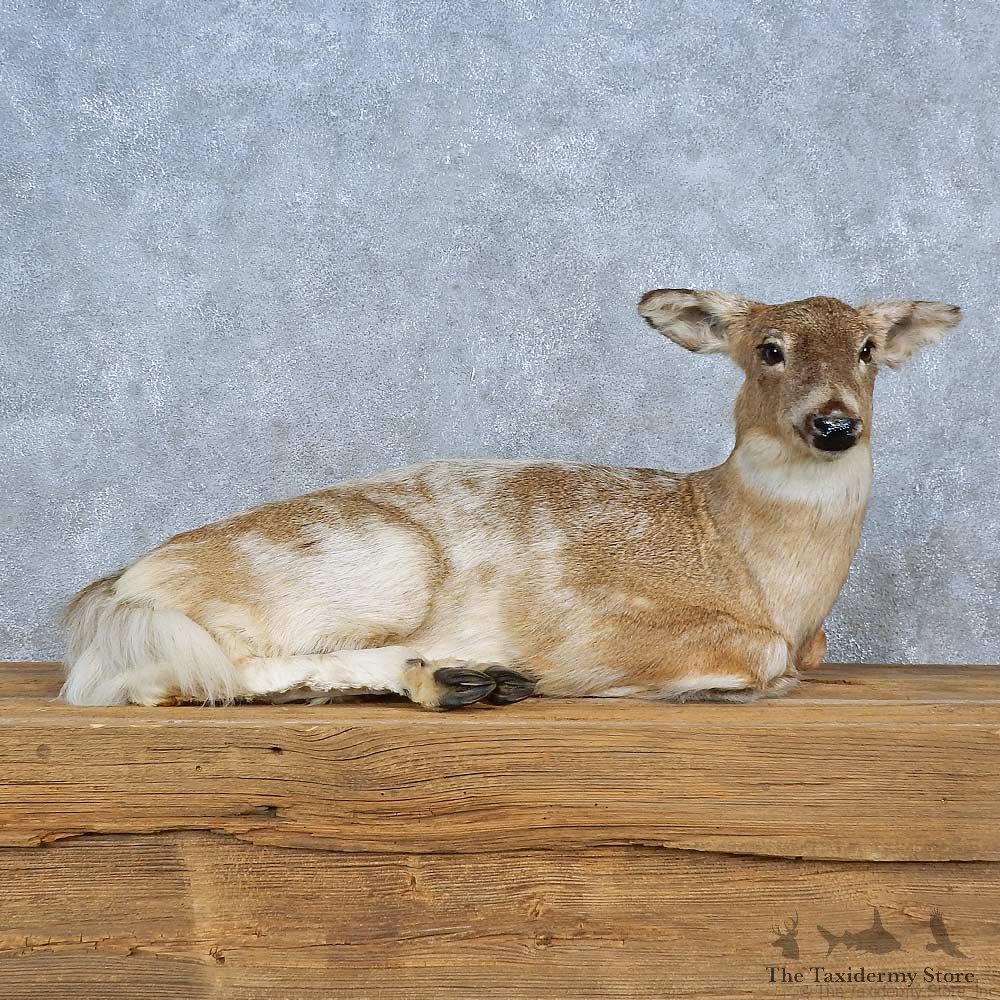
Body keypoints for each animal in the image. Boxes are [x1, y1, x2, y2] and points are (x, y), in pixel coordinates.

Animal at [61, 289, 962, 710]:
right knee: (181, 675)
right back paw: (459, 675)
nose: (834, 423)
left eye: (868, 348)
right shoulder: (593, 623)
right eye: (770, 348)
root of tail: (120, 585)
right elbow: (754, 656)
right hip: (381, 561)